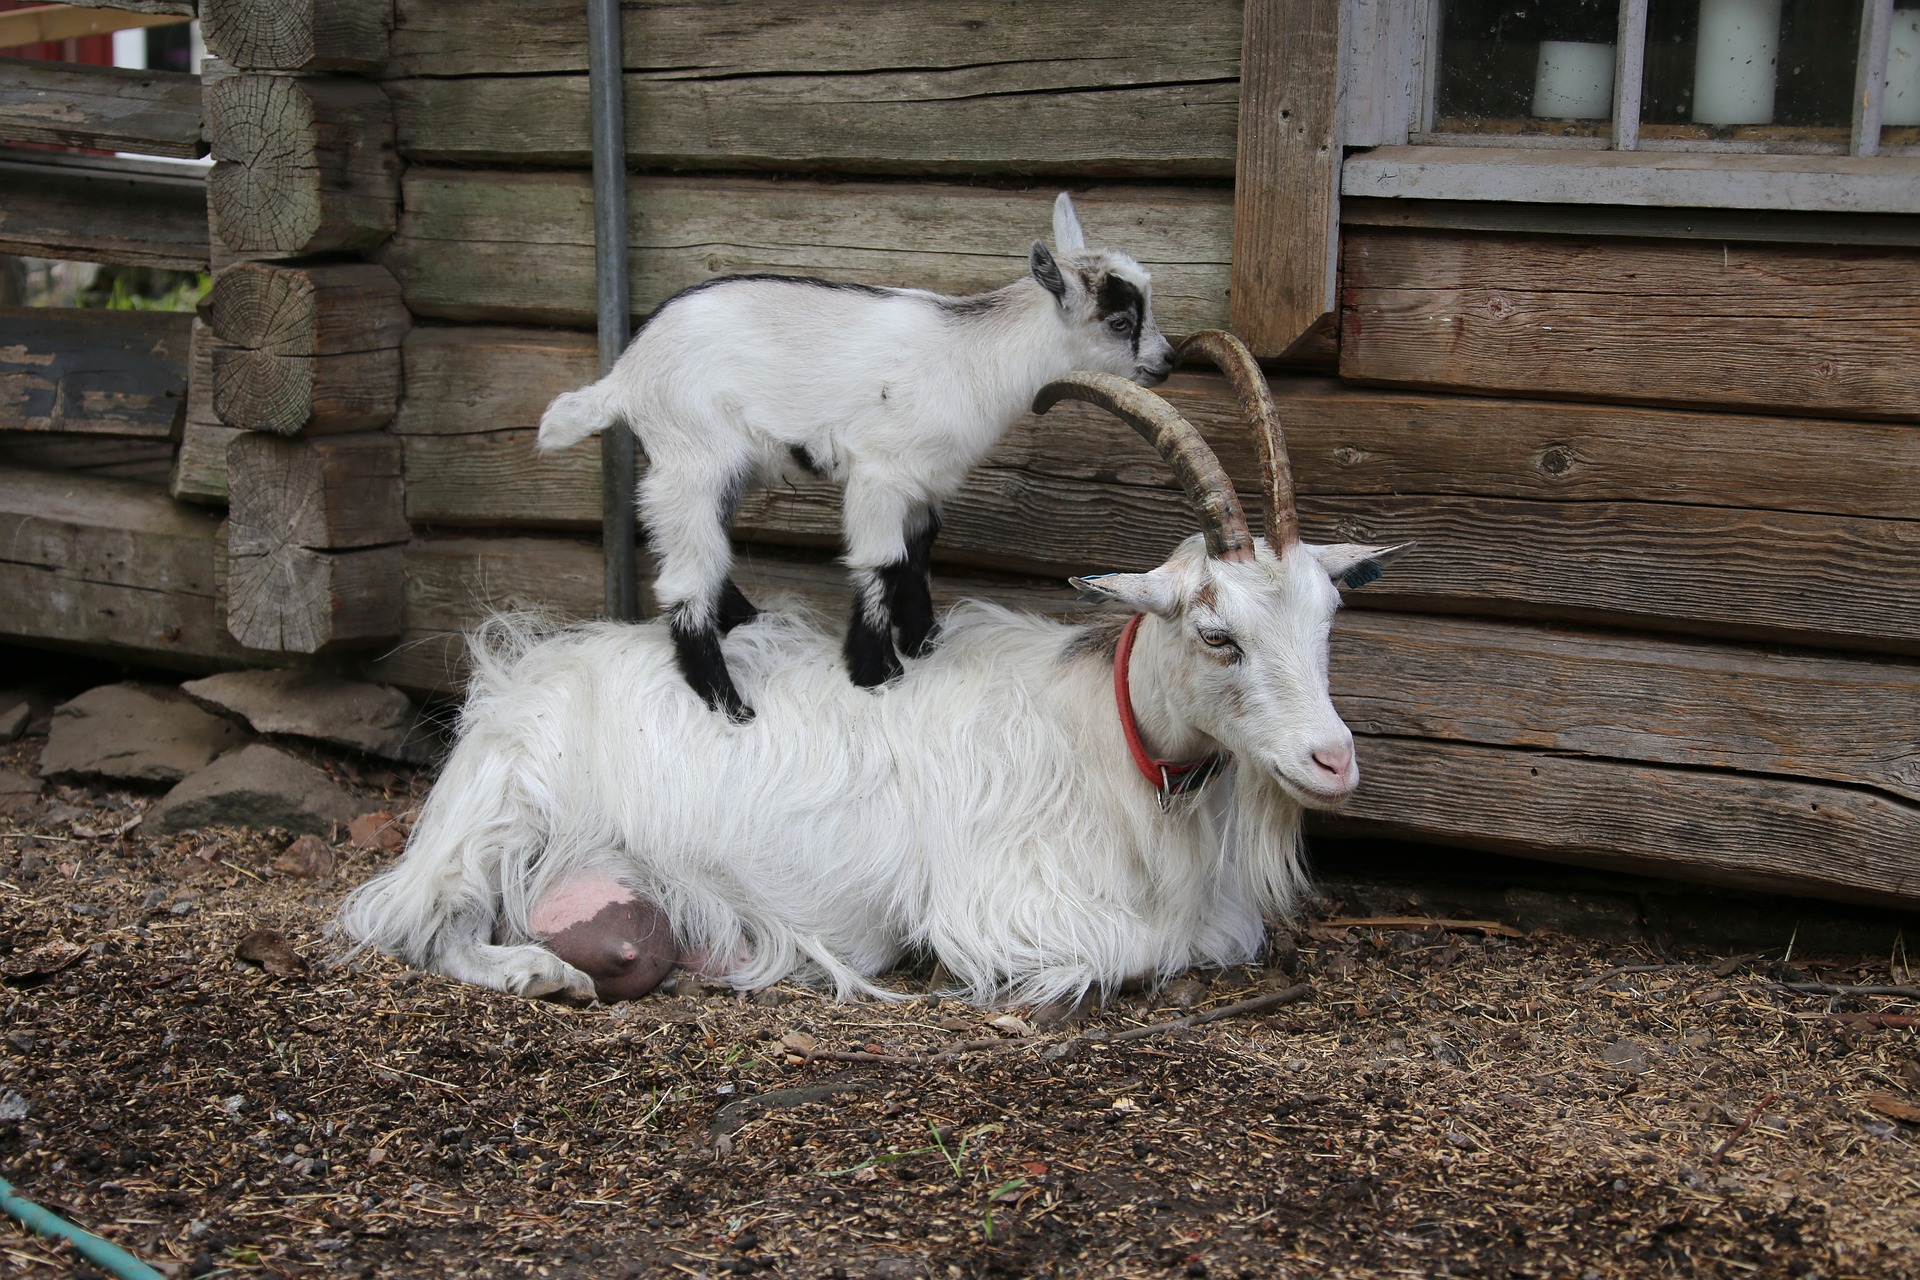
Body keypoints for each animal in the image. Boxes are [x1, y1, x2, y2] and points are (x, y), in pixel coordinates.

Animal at [340, 332, 1408, 1008]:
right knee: (405, 924)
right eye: (1217, 635)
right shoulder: (996, 906)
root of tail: (512, 680)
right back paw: (535, 973)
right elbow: (1143, 951)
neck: (1111, 742)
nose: (1334, 762)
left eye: (1327, 619)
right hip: (498, 822)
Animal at [535, 192, 1176, 722]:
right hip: (690, 459)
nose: (1168, 362)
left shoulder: (923, 481)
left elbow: (916, 554)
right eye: (1120, 321)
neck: (974, 357)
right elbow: (881, 561)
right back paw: (728, 704)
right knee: (685, 579)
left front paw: (925, 643)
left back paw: (751, 623)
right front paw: (877, 672)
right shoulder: (880, 473)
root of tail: (623, 378)